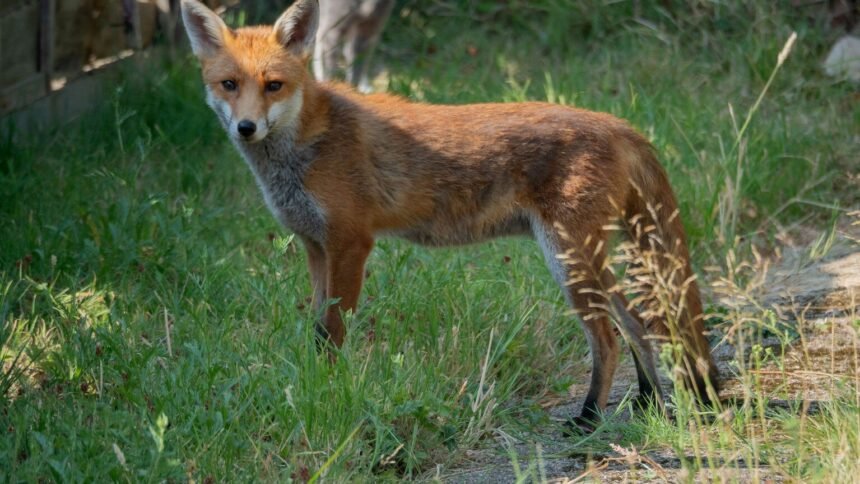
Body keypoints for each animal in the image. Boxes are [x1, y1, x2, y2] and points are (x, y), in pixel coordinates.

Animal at [180, 0, 720, 430]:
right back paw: (648, 402)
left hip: (568, 259)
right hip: (585, 259)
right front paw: (314, 387)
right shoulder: (315, 246)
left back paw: (589, 419)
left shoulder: (351, 243)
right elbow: (316, 333)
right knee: (637, 321)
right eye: (229, 85)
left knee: (608, 339)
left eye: (274, 85)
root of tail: (616, 123)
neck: (307, 145)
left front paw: (328, 397)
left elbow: (333, 334)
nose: (247, 128)